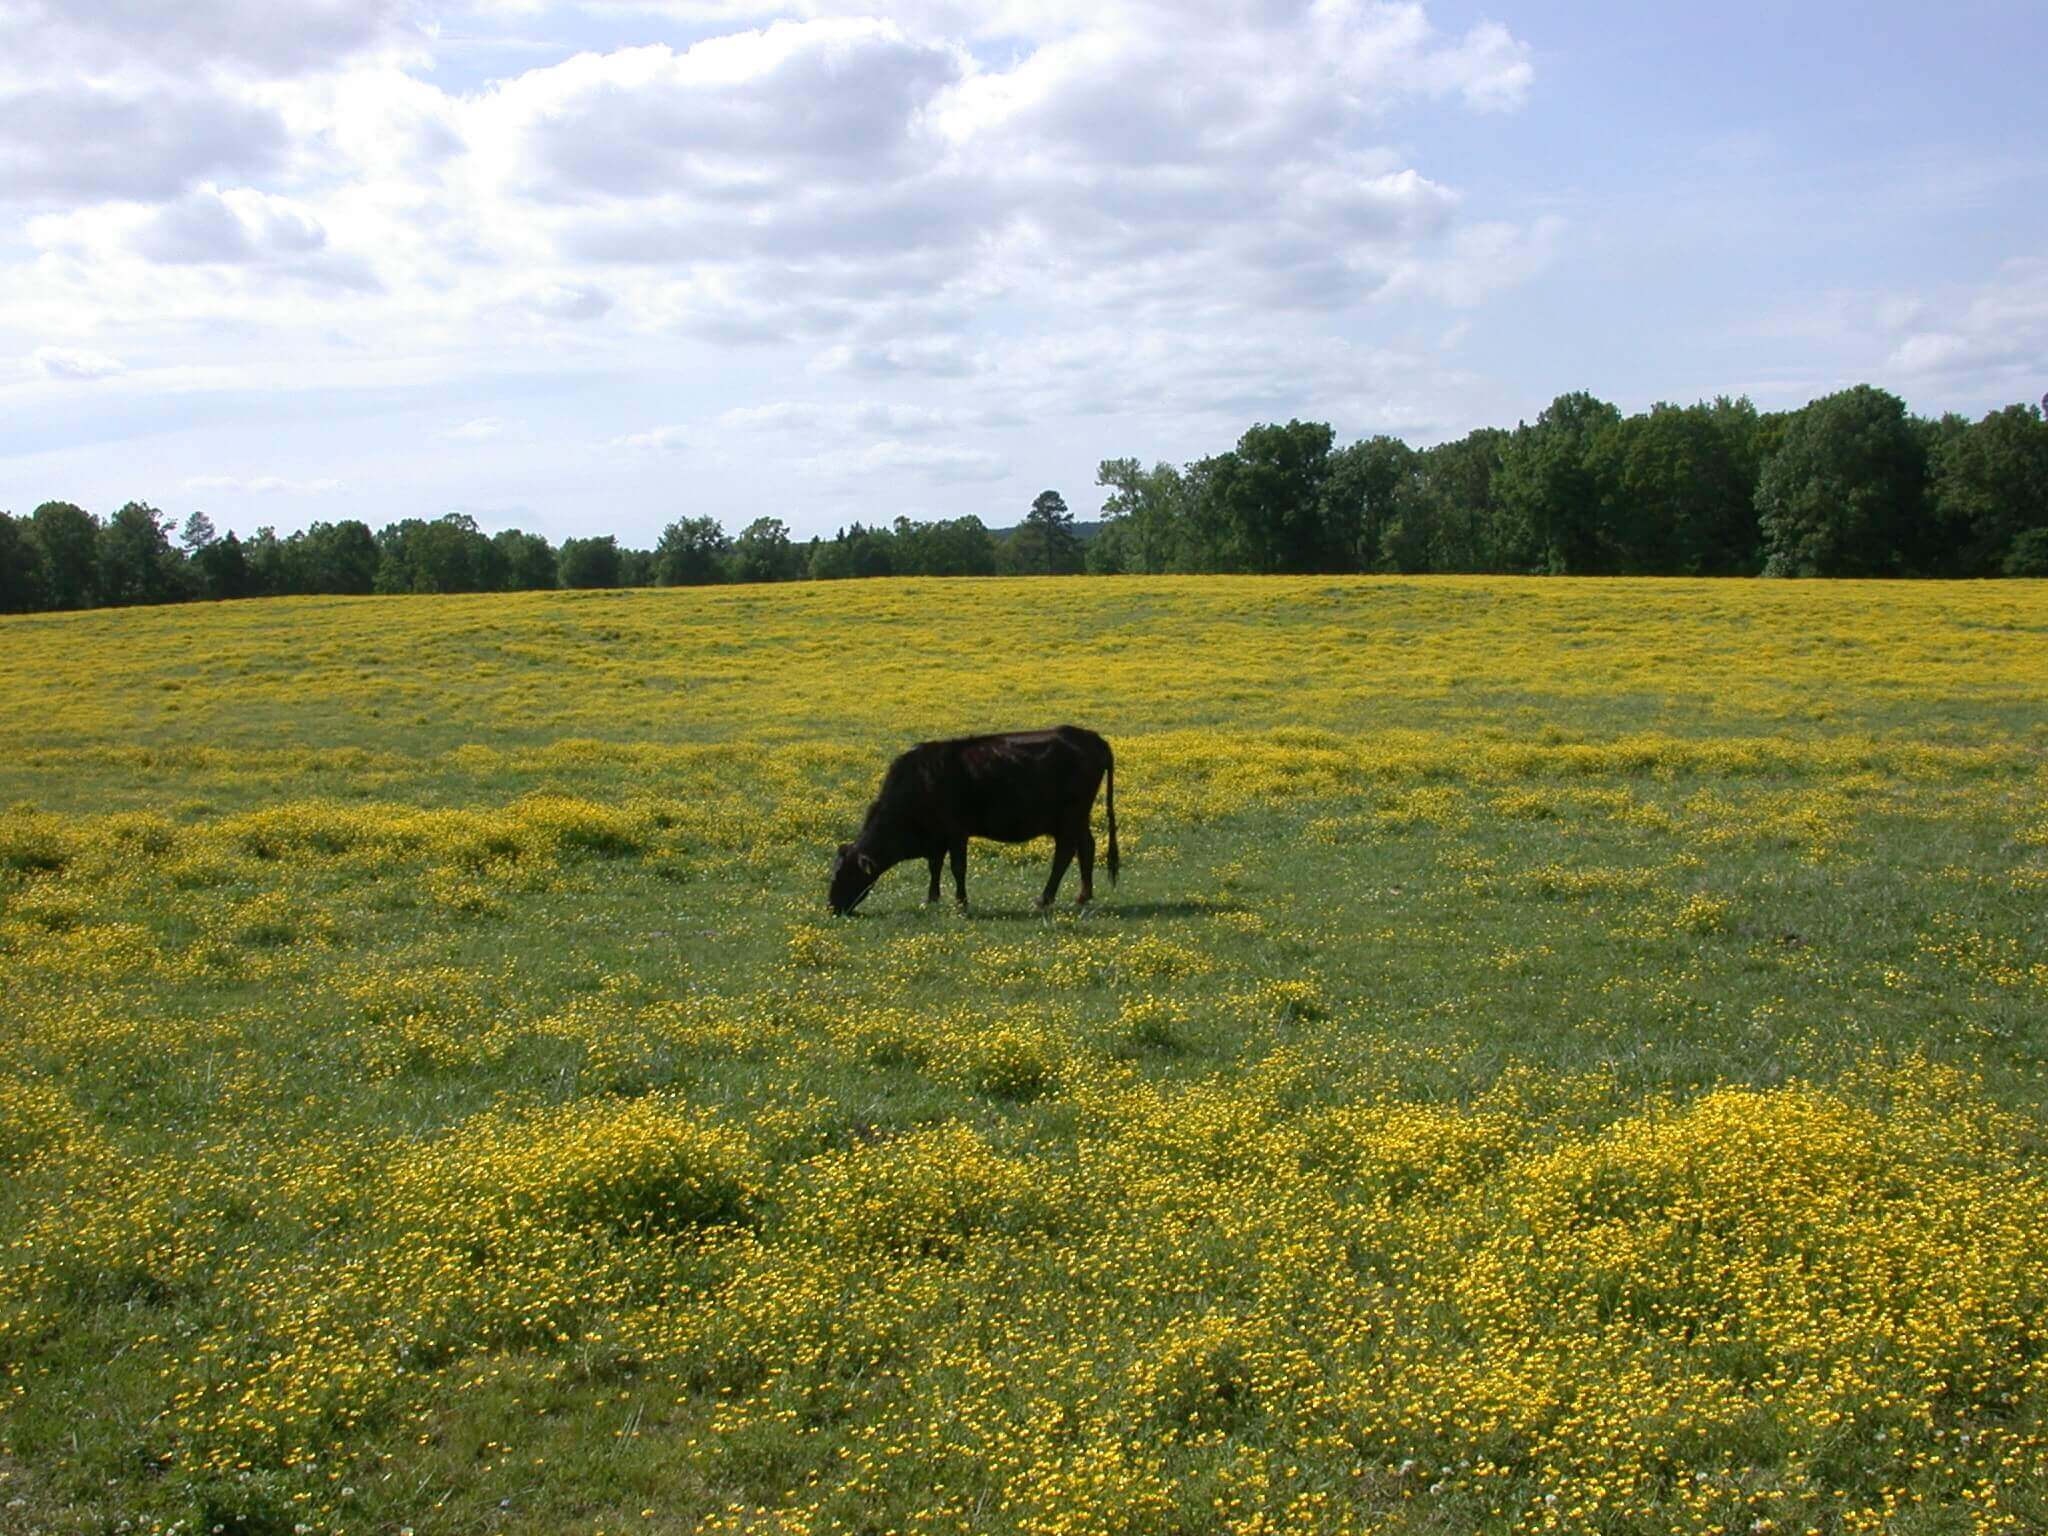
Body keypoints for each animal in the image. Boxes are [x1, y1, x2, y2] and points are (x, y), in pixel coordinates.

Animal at [827, 724, 1122, 913]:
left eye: (845, 874)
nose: (832, 907)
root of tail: (1090, 737)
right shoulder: (937, 839)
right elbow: (934, 867)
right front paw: (931, 899)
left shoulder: (956, 832)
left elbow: (958, 867)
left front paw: (961, 902)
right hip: (1076, 819)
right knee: (1086, 847)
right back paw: (1082, 896)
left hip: (1068, 817)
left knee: (1065, 853)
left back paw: (1044, 899)